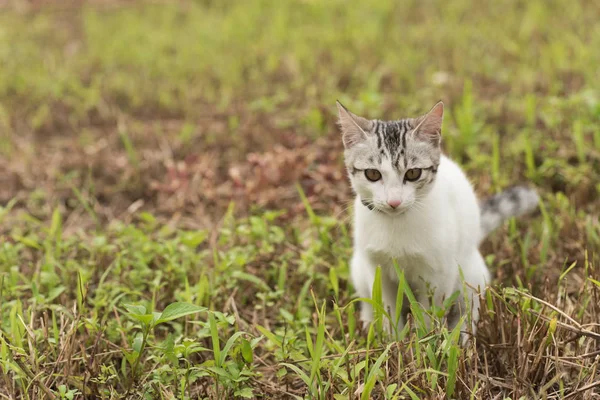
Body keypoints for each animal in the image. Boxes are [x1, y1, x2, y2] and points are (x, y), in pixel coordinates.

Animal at [338, 101, 540, 344]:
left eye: (413, 173)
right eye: (372, 174)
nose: (394, 201)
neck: (397, 224)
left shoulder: (440, 274)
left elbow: (429, 313)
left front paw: (425, 343)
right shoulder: (378, 270)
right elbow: (387, 308)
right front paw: (392, 340)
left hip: (471, 275)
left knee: (469, 309)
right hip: (358, 268)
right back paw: (367, 324)